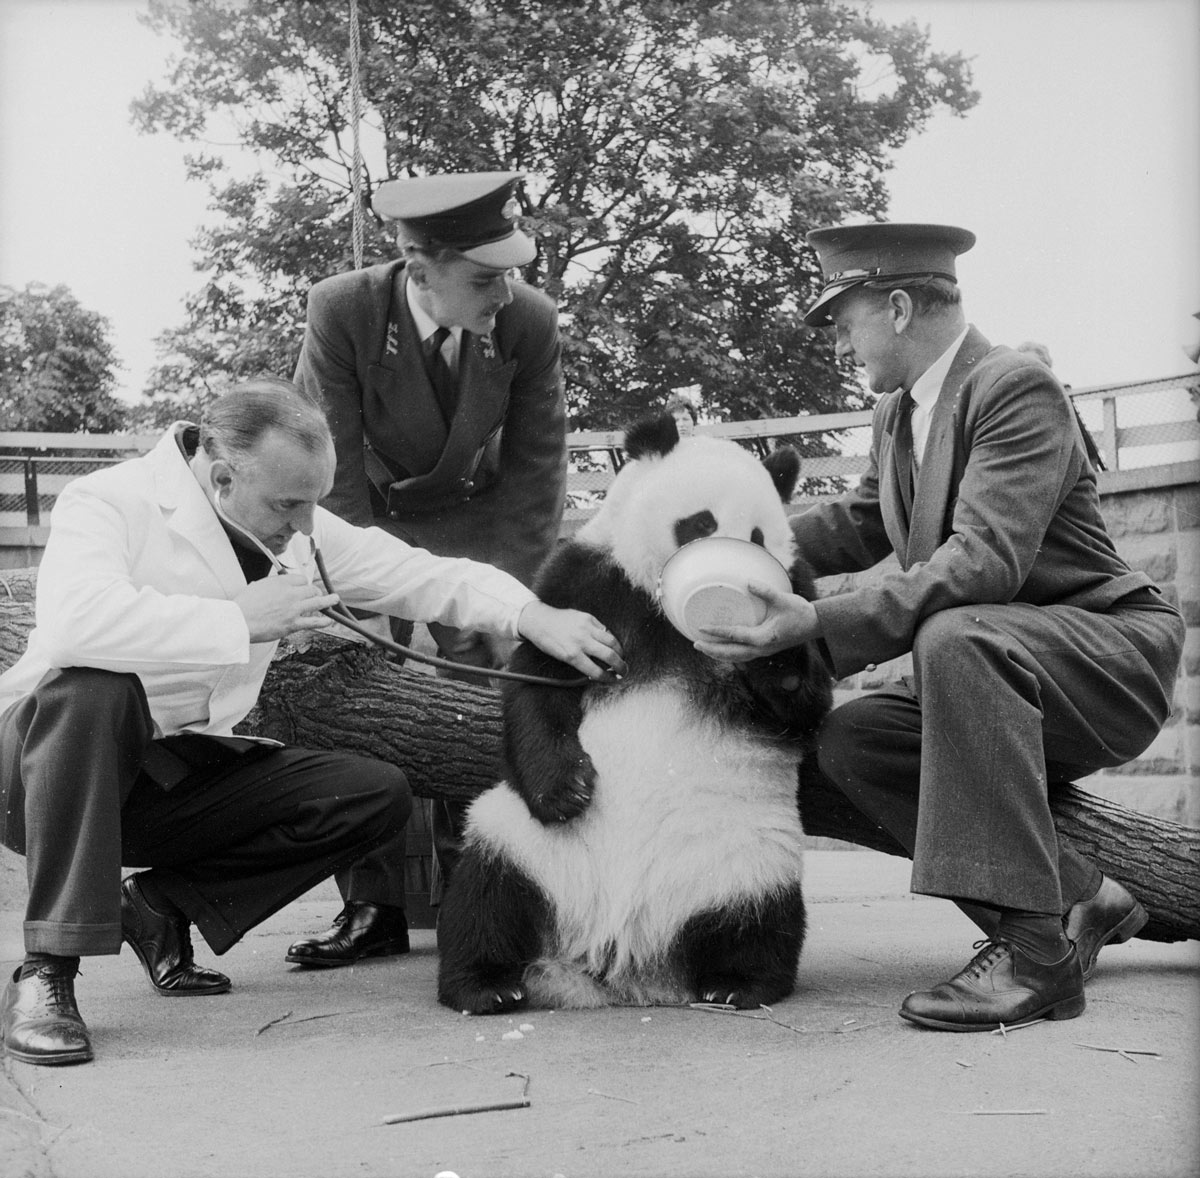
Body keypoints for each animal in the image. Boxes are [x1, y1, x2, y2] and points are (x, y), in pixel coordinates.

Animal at [436, 412, 830, 1012]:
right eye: (700, 523)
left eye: (758, 538)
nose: (732, 577)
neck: (666, 608)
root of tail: (619, 961)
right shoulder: (588, 583)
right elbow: (540, 680)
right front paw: (567, 790)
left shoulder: (800, 587)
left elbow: (805, 704)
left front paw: (766, 640)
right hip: (521, 841)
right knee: (485, 895)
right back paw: (486, 985)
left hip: (749, 855)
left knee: (762, 919)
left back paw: (737, 983)